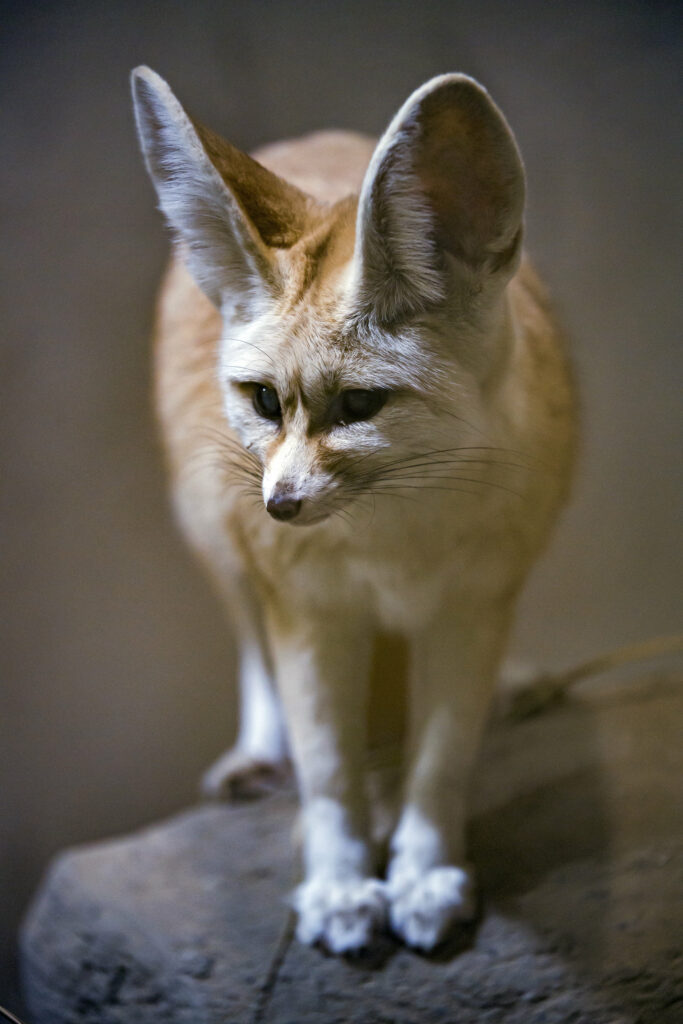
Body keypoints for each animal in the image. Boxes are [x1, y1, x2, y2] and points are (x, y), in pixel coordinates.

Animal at [131, 66, 576, 954]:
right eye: (264, 401)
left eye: (361, 406)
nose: (280, 504)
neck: (393, 546)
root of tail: (313, 139)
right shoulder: (308, 611)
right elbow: (329, 764)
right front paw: (339, 884)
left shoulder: (472, 604)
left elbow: (441, 756)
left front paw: (424, 870)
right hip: (213, 534)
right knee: (250, 648)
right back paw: (258, 751)